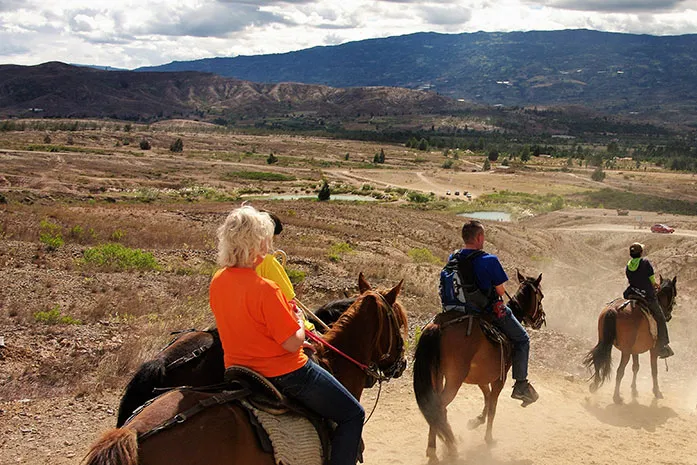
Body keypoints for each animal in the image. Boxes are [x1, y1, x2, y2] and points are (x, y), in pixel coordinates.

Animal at [414, 270, 544, 458]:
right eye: (541, 296)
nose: (541, 319)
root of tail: (439, 325)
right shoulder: (500, 378)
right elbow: (493, 406)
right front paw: (489, 438)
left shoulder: (481, 376)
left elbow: (487, 397)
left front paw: (477, 420)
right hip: (454, 380)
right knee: (440, 407)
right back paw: (450, 445)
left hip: (436, 376)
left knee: (434, 406)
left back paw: (434, 446)